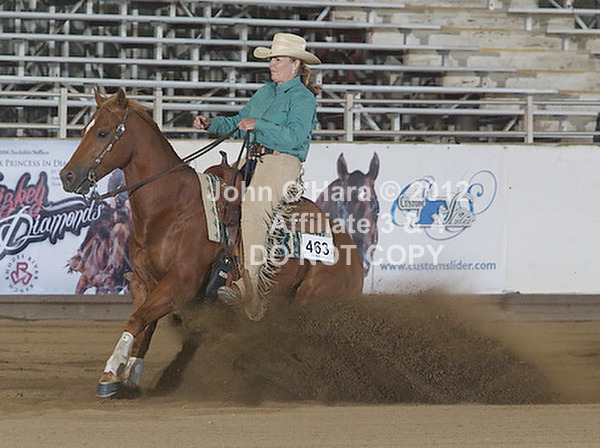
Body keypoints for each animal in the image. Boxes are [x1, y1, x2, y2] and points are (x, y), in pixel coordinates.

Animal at [60, 88, 364, 398]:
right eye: (84, 129)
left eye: (102, 132)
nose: (67, 175)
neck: (171, 207)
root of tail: (350, 248)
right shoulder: (144, 283)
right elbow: (144, 326)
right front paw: (129, 375)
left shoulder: (181, 284)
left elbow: (136, 320)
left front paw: (110, 373)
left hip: (314, 303)